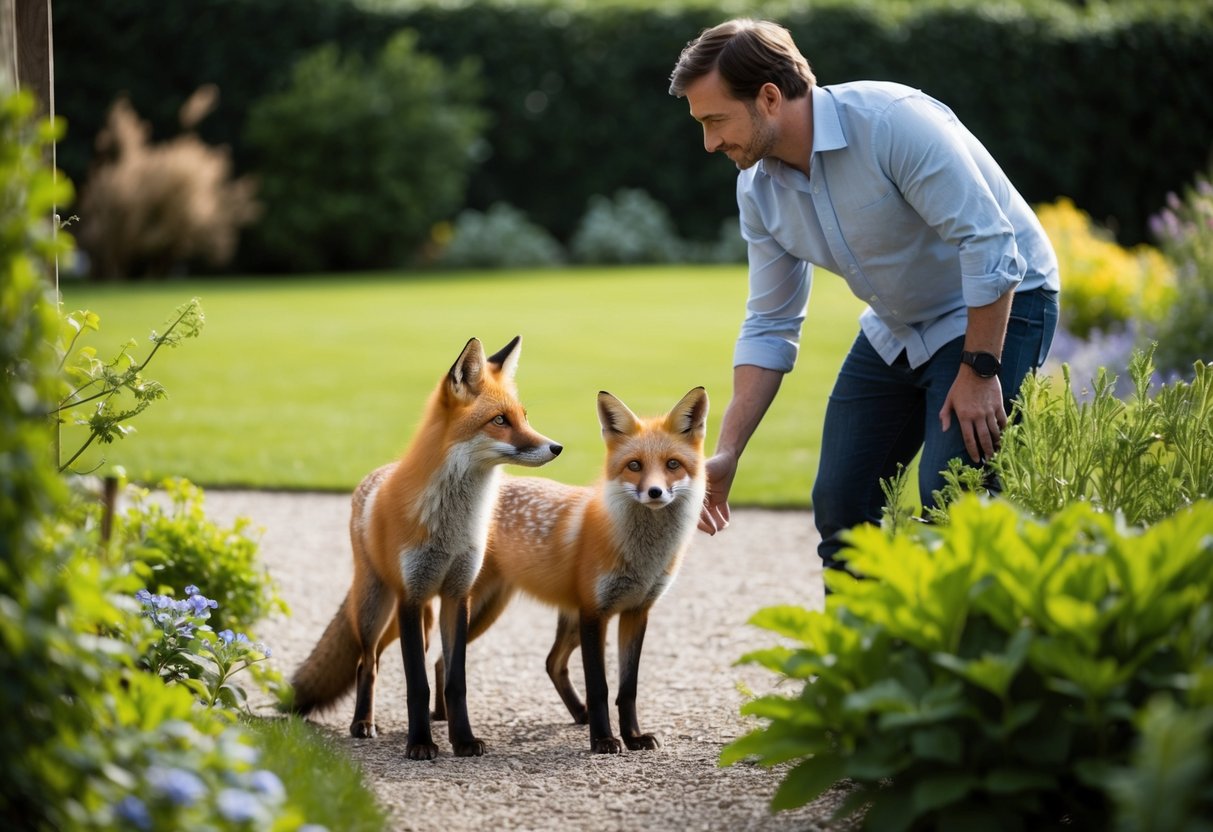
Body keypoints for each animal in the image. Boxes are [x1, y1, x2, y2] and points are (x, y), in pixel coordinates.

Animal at [289, 336, 562, 761]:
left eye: (524, 417)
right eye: (500, 421)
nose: (557, 447)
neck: (451, 528)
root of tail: (375, 474)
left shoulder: (457, 594)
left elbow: (455, 680)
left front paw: (463, 739)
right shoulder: (411, 596)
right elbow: (416, 683)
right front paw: (419, 743)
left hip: (427, 622)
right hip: (376, 608)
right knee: (367, 663)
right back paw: (362, 723)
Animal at [434, 386, 709, 754]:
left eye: (673, 465)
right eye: (634, 465)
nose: (655, 492)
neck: (642, 559)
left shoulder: (636, 612)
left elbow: (628, 689)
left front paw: (633, 736)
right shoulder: (595, 612)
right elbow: (600, 688)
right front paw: (604, 739)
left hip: (541, 615)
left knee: (551, 662)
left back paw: (577, 715)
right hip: (480, 609)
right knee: (443, 661)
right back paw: (442, 719)